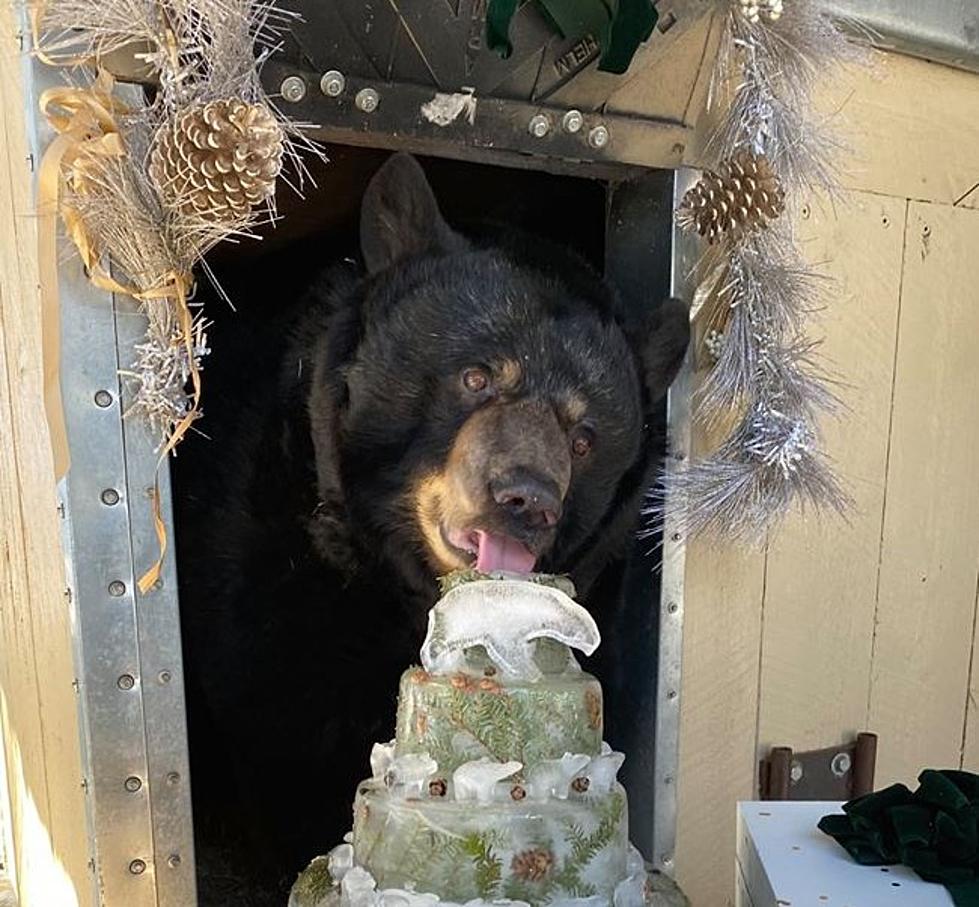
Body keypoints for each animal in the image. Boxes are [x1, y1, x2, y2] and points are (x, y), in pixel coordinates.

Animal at [178, 153, 696, 904]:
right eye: (475, 376)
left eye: (585, 435)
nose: (525, 499)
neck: (404, 578)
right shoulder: (271, 567)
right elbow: (283, 719)